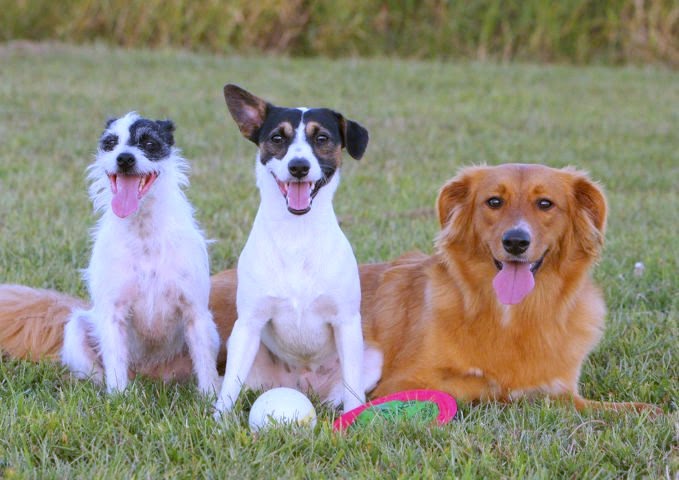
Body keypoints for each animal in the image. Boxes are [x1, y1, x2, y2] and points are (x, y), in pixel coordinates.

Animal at [0, 165, 660, 412]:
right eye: (493, 202)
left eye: (546, 205)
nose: (517, 242)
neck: (508, 316)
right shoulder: (408, 380)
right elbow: (495, 389)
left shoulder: (563, 384)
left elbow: (607, 405)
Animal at [61, 112, 218, 394]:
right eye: (110, 143)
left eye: (149, 143)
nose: (124, 158)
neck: (143, 228)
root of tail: (150, 373)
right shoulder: (112, 314)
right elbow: (115, 367)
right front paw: (119, 398)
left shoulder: (195, 313)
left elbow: (206, 366)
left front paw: (211, 398)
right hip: (75, 330)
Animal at [212, 84, 382, 414]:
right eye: (278, 138)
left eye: (322, 138)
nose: (299, 167)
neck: (296, 234)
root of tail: (302, 385)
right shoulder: (248, 323)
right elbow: (228, 392)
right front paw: (219, 421)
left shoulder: (346, 323)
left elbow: (353, 388)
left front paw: (354, 417)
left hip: (372, 358)